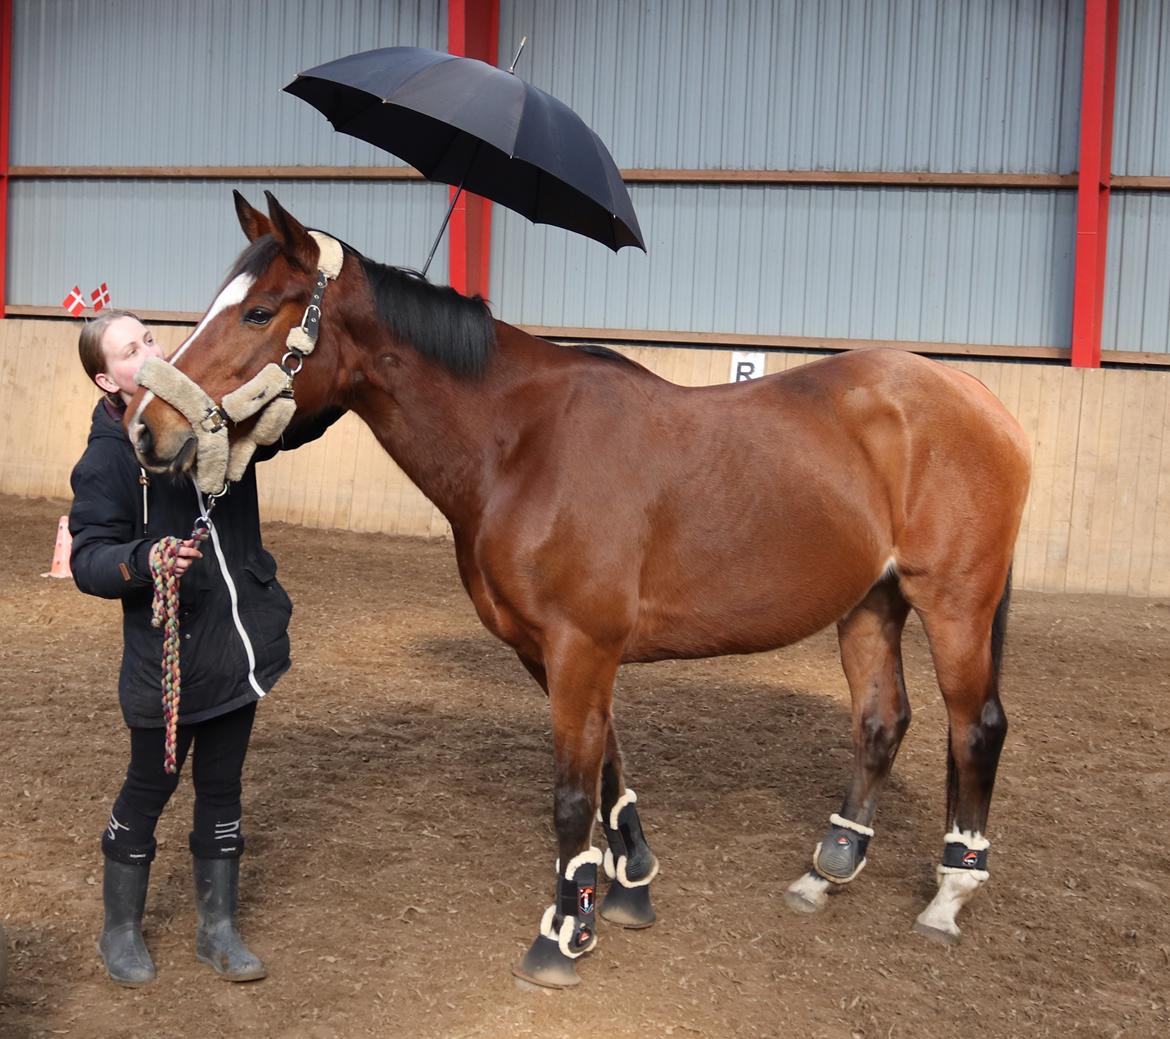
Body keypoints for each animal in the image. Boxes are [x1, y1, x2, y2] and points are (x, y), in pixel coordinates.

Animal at [125, 194, 1034, 992]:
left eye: (258, 313)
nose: (146, 427)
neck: (521, 445)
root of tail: (981, 399)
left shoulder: (581, 647)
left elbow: (569, 795)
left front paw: (561, 935)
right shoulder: (553, 652)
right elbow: (606, 770)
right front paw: (622, 887)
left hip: (954, 605)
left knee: (976, 726)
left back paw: (951, 891)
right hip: (871, 603)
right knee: (882, 720)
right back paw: (831, 867)